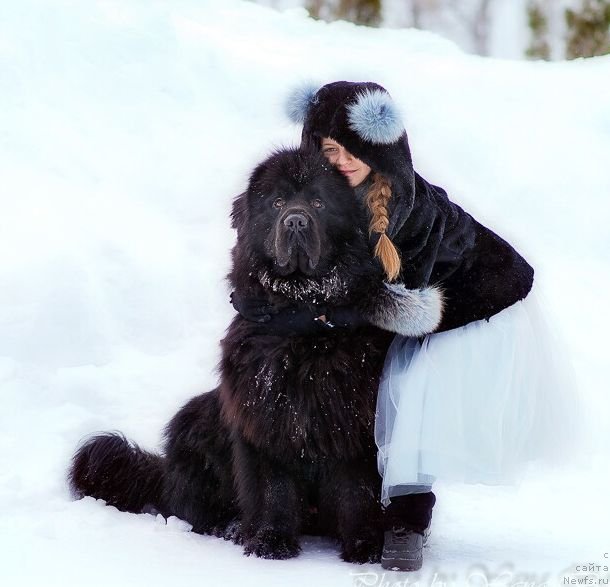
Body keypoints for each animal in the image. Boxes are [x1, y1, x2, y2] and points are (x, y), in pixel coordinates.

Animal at [67, 147, 436, 564]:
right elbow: (272, 489)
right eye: (276, 202)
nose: (295, 221)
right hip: (195, 419)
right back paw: (229, 527)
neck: (304, 322)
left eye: (318, 202)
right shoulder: (262, 419)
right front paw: (270, 541)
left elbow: (357, 493)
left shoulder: (354, 428)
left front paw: (366, 545)